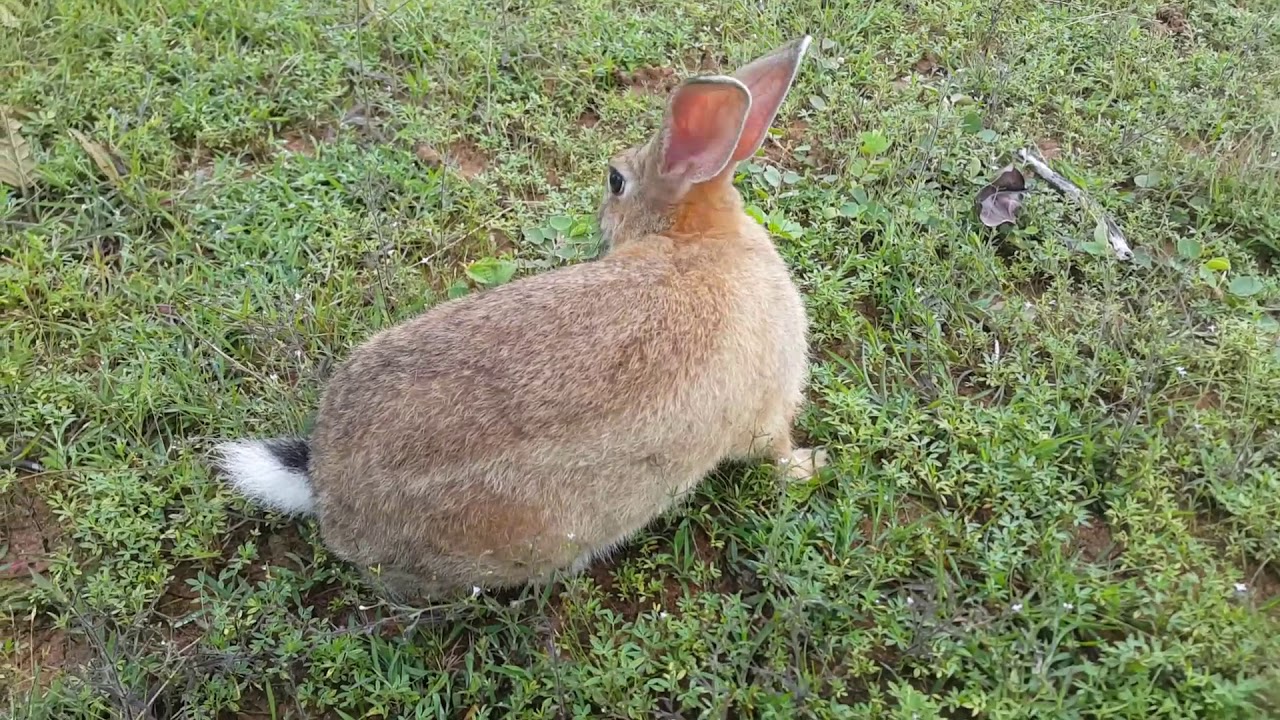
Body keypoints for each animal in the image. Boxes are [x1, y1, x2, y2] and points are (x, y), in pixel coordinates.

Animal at [214, 36, 827, 602]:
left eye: (615, 181)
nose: (600, 216)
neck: (692, 238)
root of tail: (326, 494)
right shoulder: (769, 413)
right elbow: (776, 452)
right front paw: (812, 466)